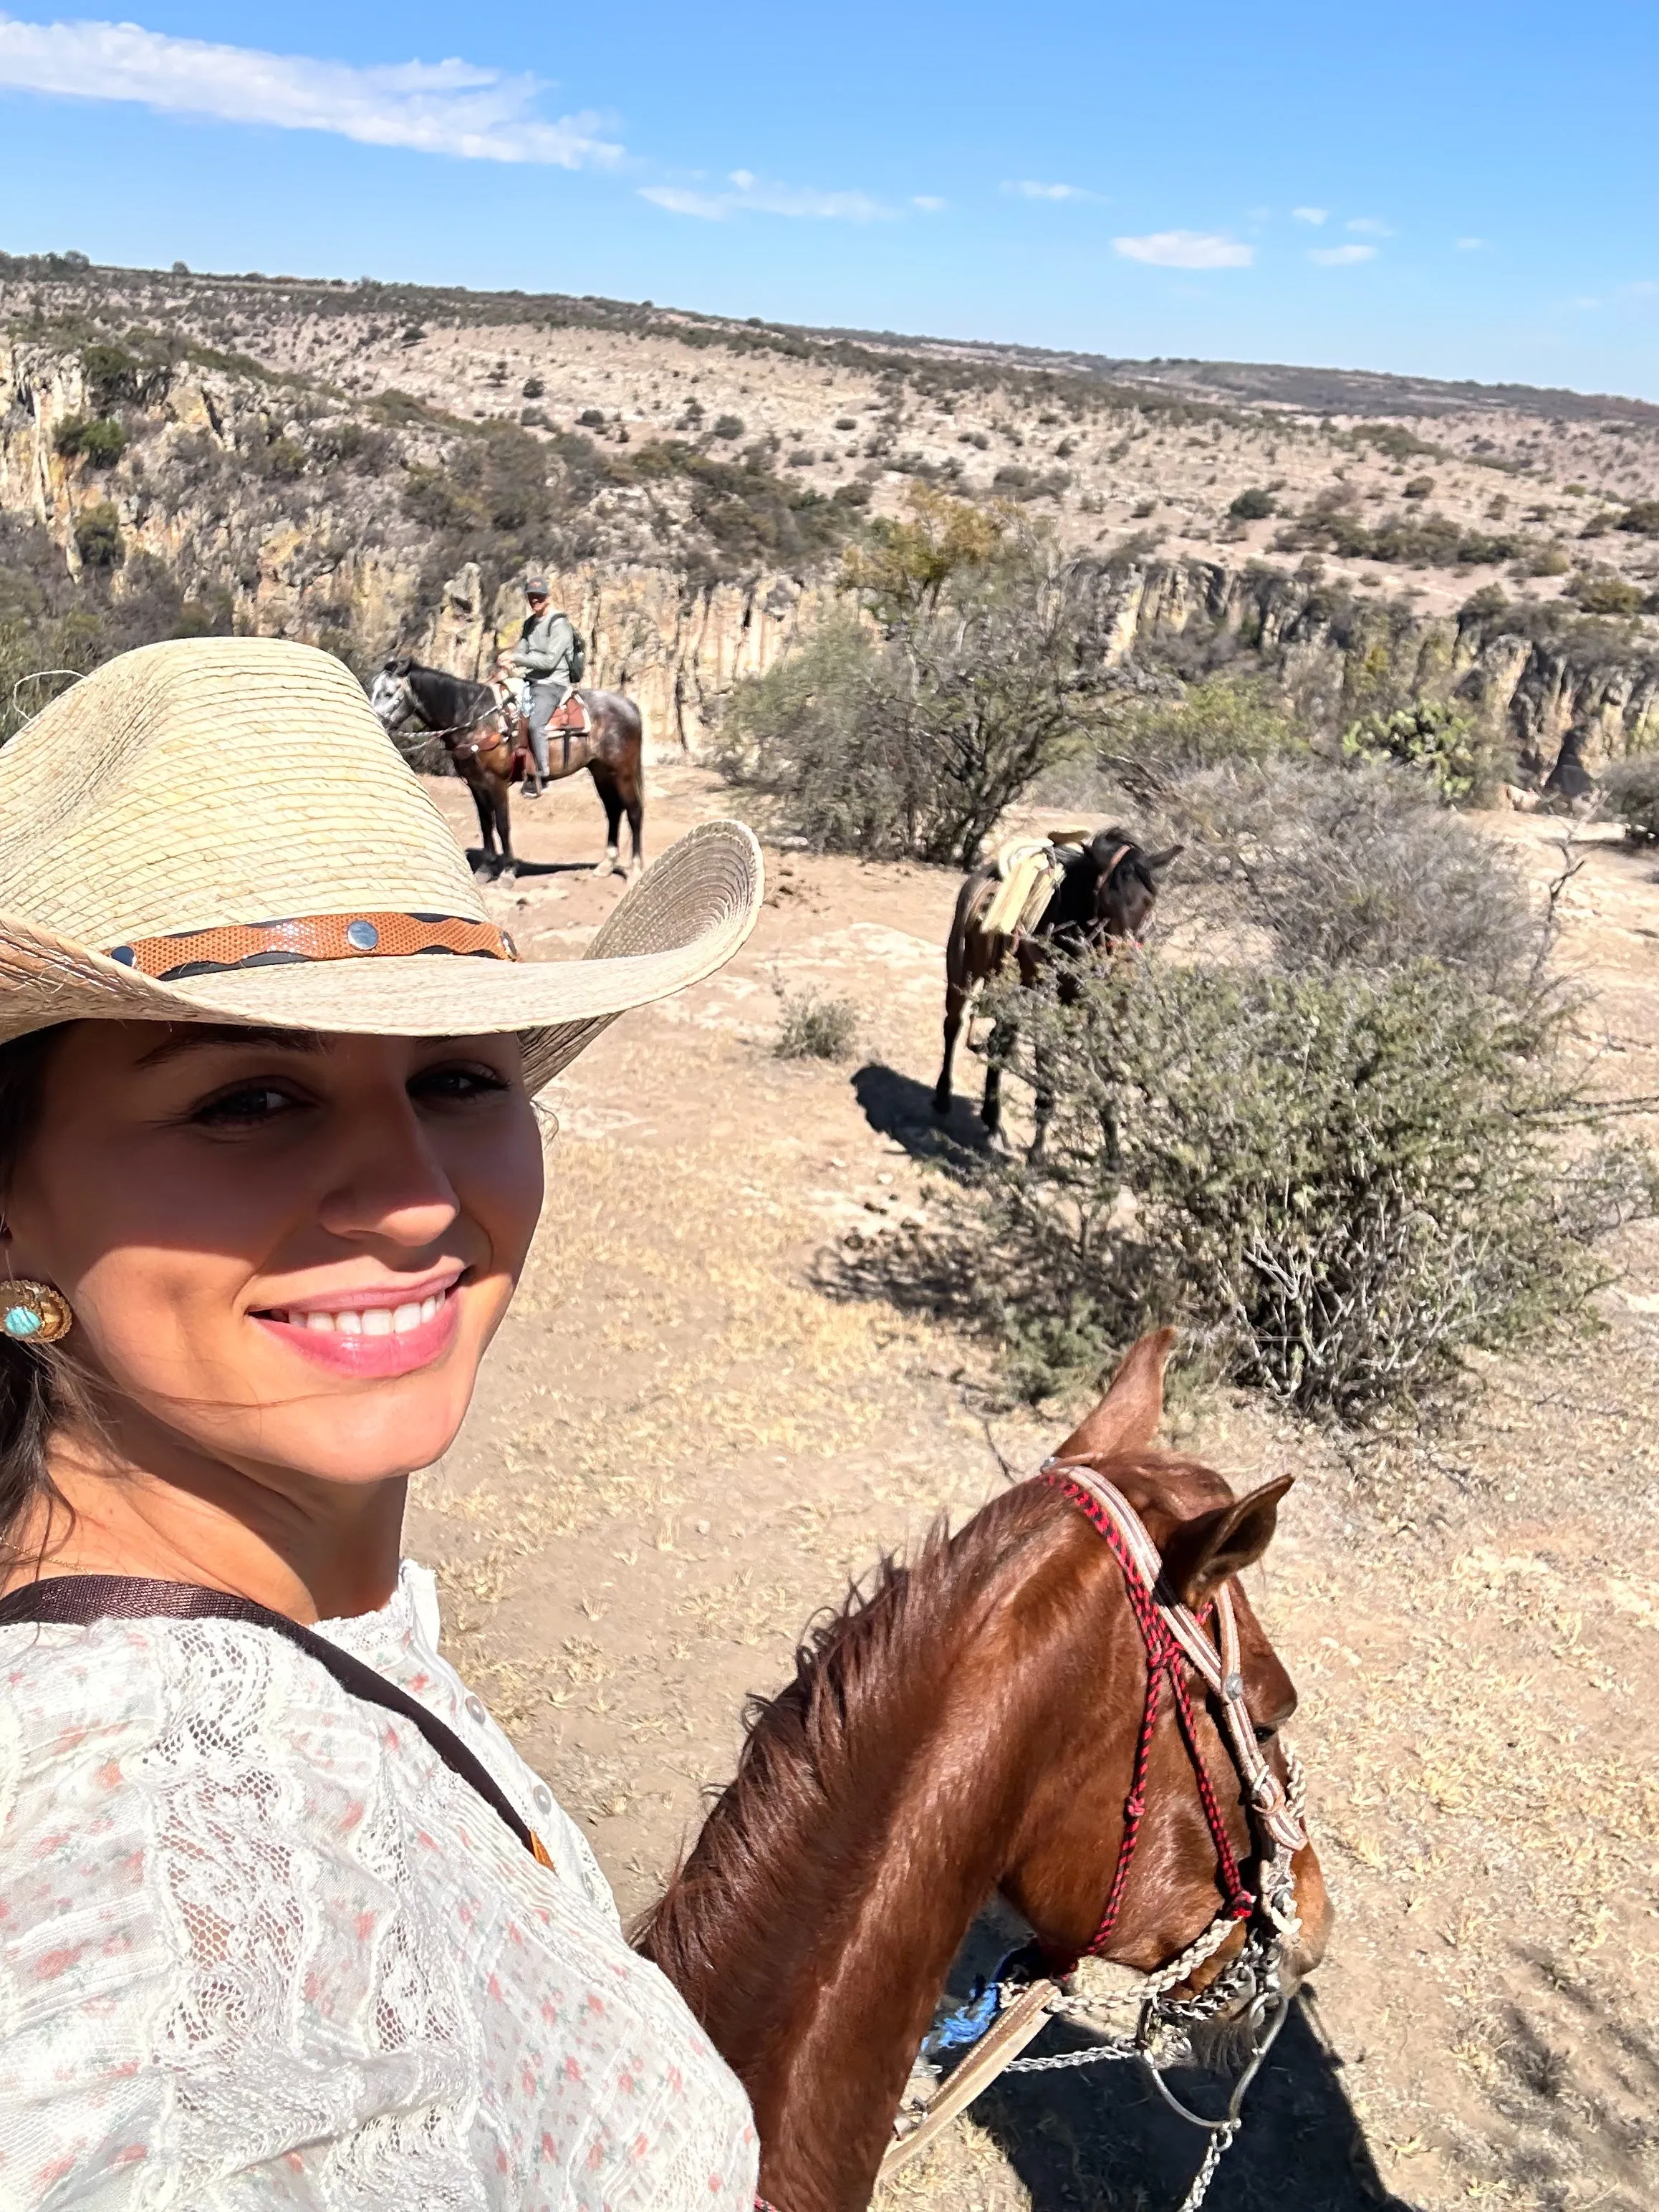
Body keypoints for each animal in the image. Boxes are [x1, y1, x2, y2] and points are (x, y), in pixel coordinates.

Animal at [373, 655, 645, 871]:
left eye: (389, 693)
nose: (376, 721)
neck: (477, 721)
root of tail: (630, 706)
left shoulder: (497, 782)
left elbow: (503, 824)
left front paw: (507, 870)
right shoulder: (476, 783)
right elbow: (486, 823)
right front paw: (487, 867)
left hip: (623, 771)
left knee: (633, 810)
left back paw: (636, 867)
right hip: (601, 771)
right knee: (613, 810)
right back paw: (607, 864)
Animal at [938, 827, 1186, 1141]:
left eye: (1149, 902)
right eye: (1104, 901)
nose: (1122, 966)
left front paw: (1113, 1143)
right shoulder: (1046, 1005)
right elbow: (1047, 1070)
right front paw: (1038, 1146)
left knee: (998, 1041)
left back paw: (992, 1118)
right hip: (962, 971)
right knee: (953, 1025)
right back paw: (943, 1097)